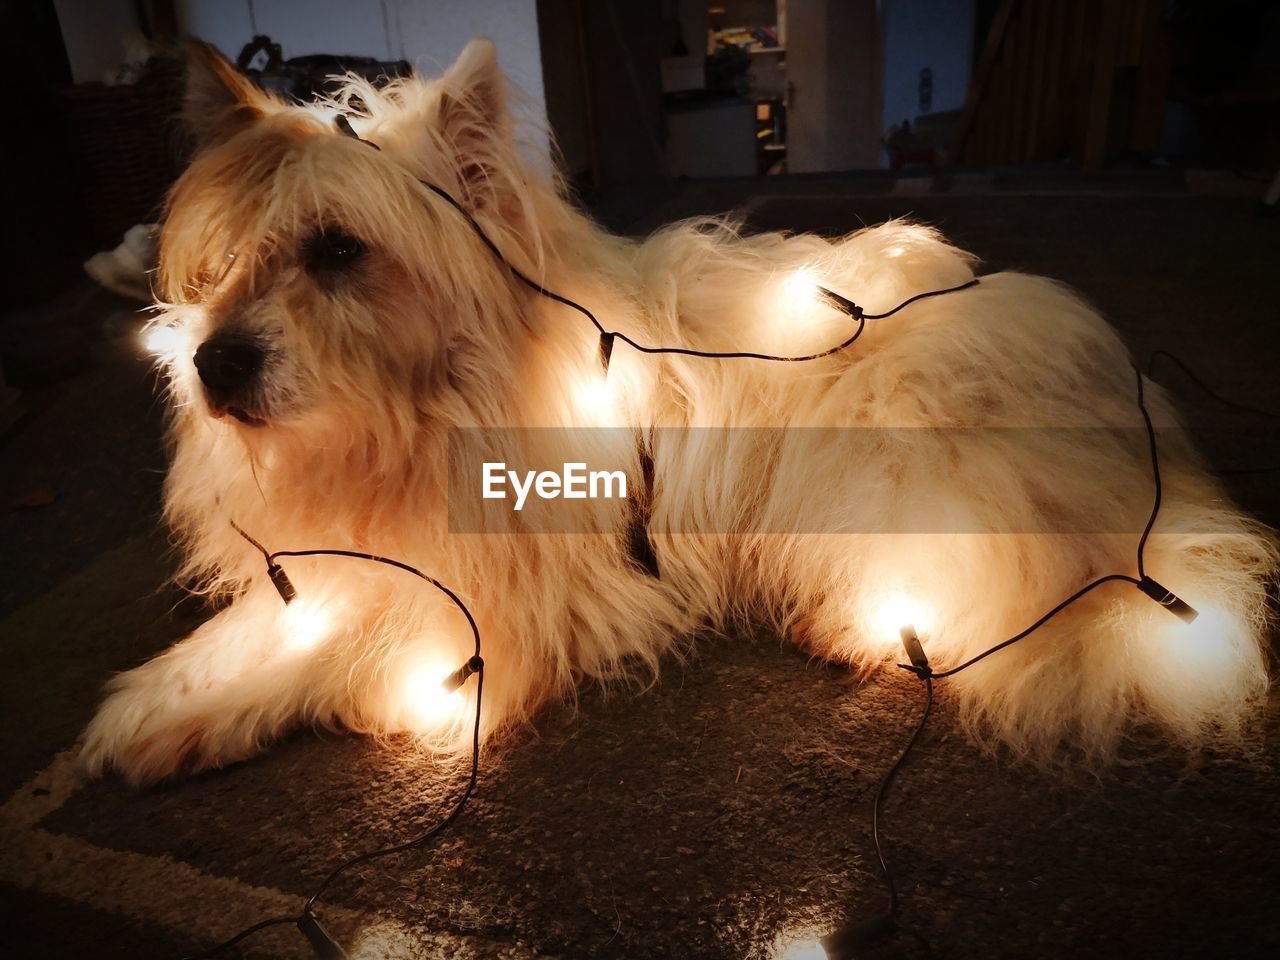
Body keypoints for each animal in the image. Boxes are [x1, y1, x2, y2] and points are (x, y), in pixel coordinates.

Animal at [80, 41, 1269, 783]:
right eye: (223, 265)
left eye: (338, 251)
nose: (214, 367)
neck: (419, 420)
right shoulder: (360, 558)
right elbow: (271, 619)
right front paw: (150, 699)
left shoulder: (526, 608)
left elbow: (351, 652)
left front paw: (185, 724)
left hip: (879, 475)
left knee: (1003, 589)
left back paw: (861, 628)